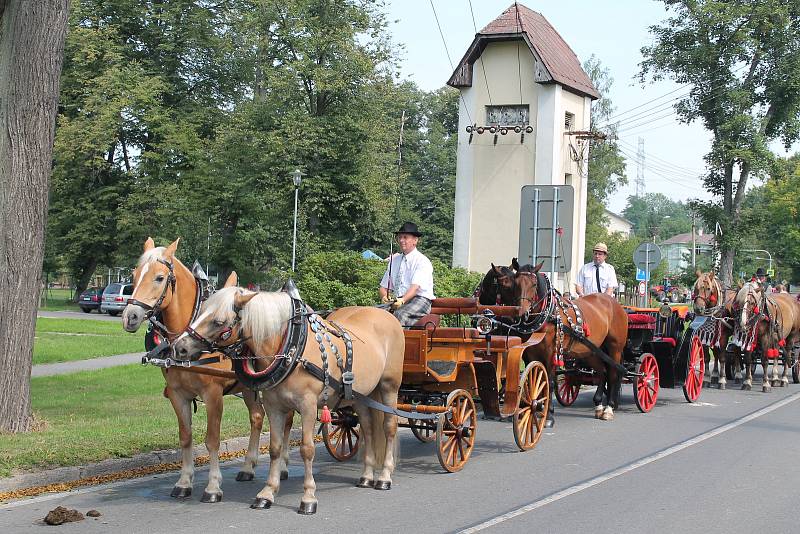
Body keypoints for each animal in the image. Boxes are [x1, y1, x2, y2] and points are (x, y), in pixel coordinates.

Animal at [122, 241, 290, 504]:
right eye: (134, 276)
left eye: (159, 278)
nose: (130, 316)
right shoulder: (178, 395)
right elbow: (185, 437)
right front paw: (184, 482)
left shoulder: (213, 395)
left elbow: (212, 440)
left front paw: (212, 487)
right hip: (250, 387)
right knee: (257, 417)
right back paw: (248, 467)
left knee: (286, 423)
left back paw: (281, 467)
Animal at [171, 288, 404, 520]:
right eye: (201, 310)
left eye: (218, 321)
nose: (178, 348)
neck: (291, 351)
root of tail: (388, 315)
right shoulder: (274, 406)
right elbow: (275, 448)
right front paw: (267, 493)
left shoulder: (308, 406)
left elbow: (307, 449)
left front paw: (308, 497)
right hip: (361, 395)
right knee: (368, 428)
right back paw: (367, 475)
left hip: (389, 387)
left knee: (389, 427)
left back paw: (384, 476)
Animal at [504, 264, 628, 422]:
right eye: (515, 283)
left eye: (534, 284)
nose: (522, 313)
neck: (549, 314)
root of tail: (616, 305)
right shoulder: (531, 355)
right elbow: (536, 381)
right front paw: (537, 409)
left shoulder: (551, 353)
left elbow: (550, 382)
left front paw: (548, 415)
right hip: (591, 350)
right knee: (602, 372)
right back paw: (599, 405)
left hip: (615, 348)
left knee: (613, 373)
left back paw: (609, 408)